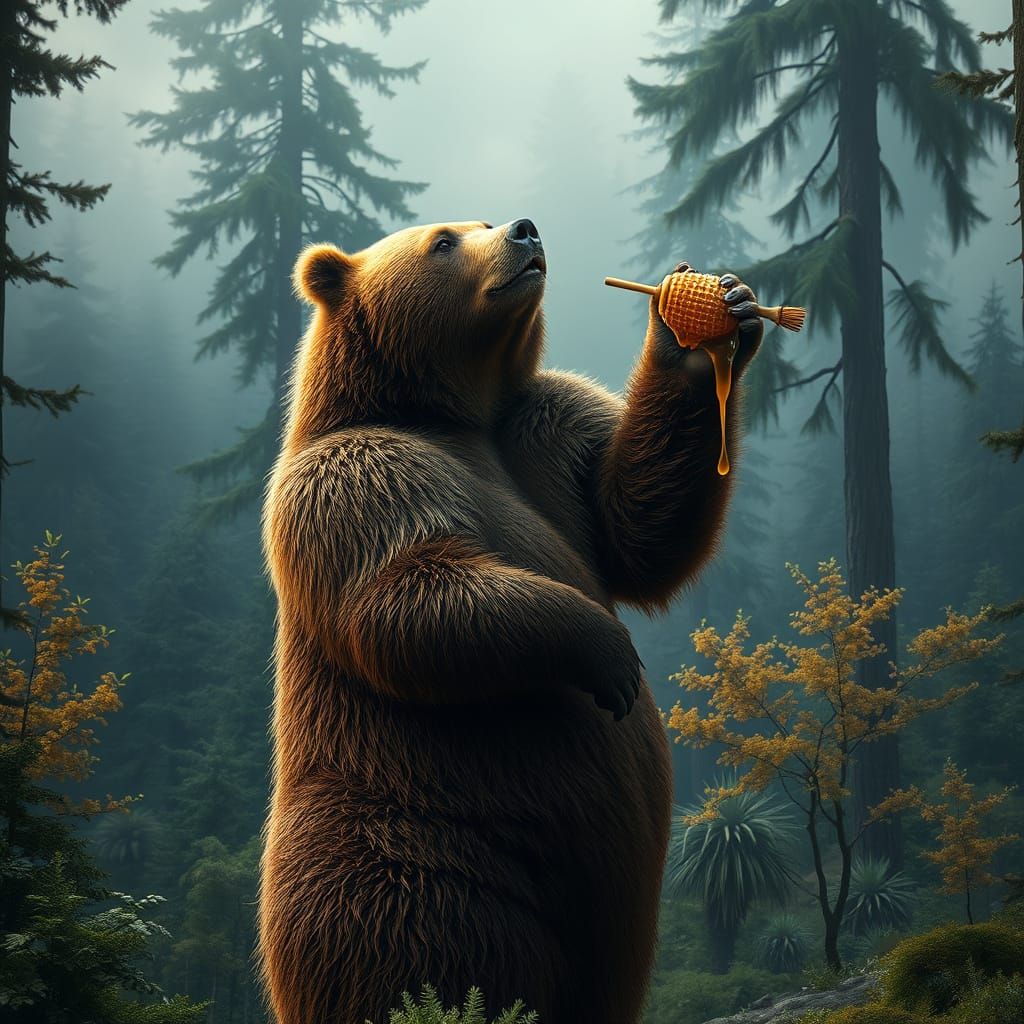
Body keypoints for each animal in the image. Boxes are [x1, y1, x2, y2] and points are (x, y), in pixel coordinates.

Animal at [258, 218, 763, 1024]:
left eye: (486, 220)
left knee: (602, 977)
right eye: (443, 240)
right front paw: (610, 656)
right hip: (421, 851)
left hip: (614, 913)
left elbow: (634, 524)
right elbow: (410, 591)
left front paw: (702, 326)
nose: (526, 229)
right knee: (445, 965)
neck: (462, 411)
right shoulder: (354, 479)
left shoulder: (549, 432)